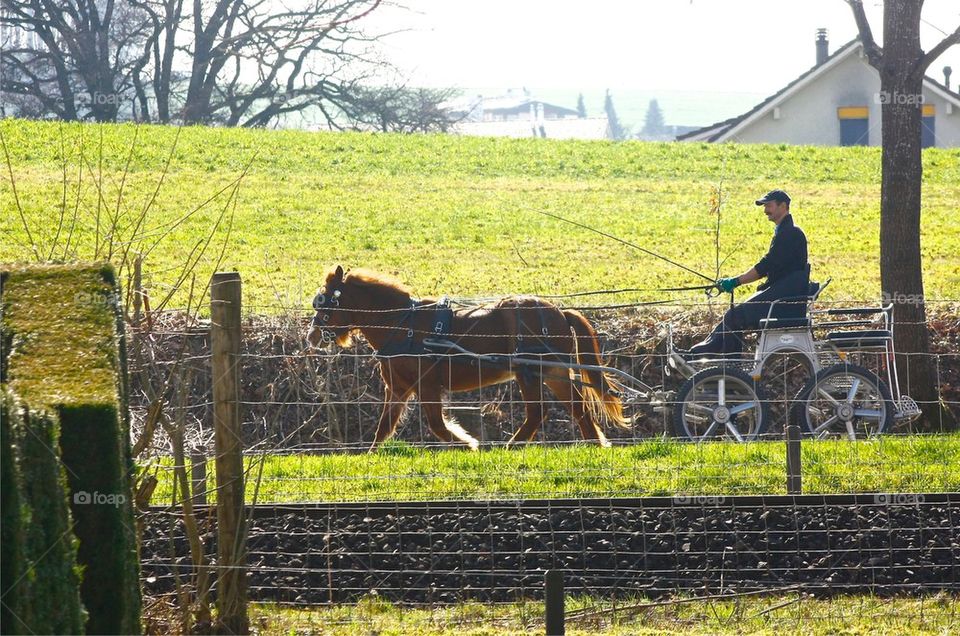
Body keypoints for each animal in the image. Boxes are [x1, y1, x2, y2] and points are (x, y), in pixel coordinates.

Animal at [308, 266, 632, 450]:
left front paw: (469, 445)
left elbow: (437, 425)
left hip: (529, 371)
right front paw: (370, 455)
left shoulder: (427, 386)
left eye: (326, 300)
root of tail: (560, 312)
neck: (403, 324)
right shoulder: (398, 388)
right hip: (553, 372)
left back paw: (512, 446)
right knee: (578, 409)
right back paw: (594, 445)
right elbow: (383, 427)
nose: (312, 336)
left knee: (539, 411)